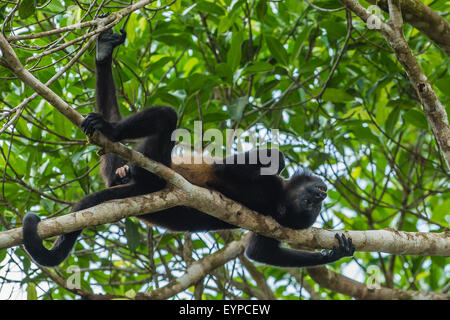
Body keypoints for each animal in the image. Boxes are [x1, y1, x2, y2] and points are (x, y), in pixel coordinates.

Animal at [22, 26, 356, 268]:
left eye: (312, 207)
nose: (320, 195)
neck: (277, 200)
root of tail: (145, 186)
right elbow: (273, 161)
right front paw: (334, 254)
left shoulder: (272, 218)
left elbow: (258, 251)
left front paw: (332, 255)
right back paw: (104, 60)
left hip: (147, 163)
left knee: (163, 119)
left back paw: (109, 128)